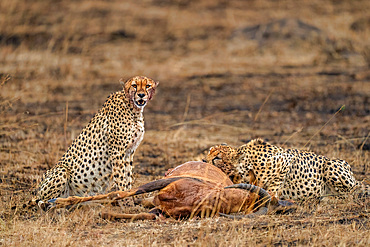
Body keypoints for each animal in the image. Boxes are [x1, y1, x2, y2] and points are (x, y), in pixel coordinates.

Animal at [33, 75, 158, 203]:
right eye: (134, 85)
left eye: (147, 86)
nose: (141, 95)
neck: (133, 109)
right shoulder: (117, 151)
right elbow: (121, 178)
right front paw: (125, 200)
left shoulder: (129, 152)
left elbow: (128, 176)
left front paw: (129, 198)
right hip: (61, 170)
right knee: (40, 201)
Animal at [207, 138, 368, 202]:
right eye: (209, 151)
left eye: (217, 158)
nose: (204, 161)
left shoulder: (286, 160)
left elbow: (272, 186)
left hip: (331, 165)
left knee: (350, 193)